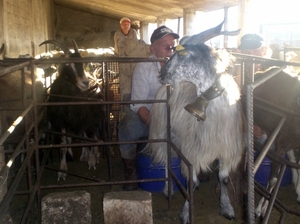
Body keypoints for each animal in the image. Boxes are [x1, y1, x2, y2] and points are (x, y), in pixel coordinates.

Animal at [40, 39, 106, 181]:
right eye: (67, 63)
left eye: (82, 62)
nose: (85, 83)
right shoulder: (60, 123)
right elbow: (63, 146)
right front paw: (62, 170)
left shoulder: (87, 119)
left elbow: (90, 140)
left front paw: (92, 162)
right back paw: (84, 155)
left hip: (96, 117)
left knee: (94, 136)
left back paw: (94, 155)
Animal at [145, 20, 246, 222]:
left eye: (182, 53)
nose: (161, 74)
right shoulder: (193, 148)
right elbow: (189, 181)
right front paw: (185, 213)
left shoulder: (226, 149)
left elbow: (223, 178)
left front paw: (227, 207)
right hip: (163, 132)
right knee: (166, 158)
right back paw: (168, 188)